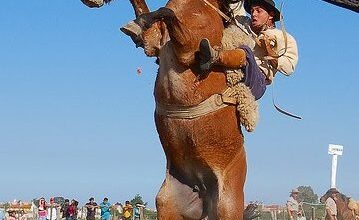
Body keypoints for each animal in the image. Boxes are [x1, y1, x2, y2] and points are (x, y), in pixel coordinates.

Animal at [80, 0, 252, 219]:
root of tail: (202, 188)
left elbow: (167, 13)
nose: (90, 3)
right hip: (167, 204)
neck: (194, 7)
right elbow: (151, 16)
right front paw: (137, 24)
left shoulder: (189, 49)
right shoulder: (154, 43)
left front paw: (142, 21)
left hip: (227, 206)